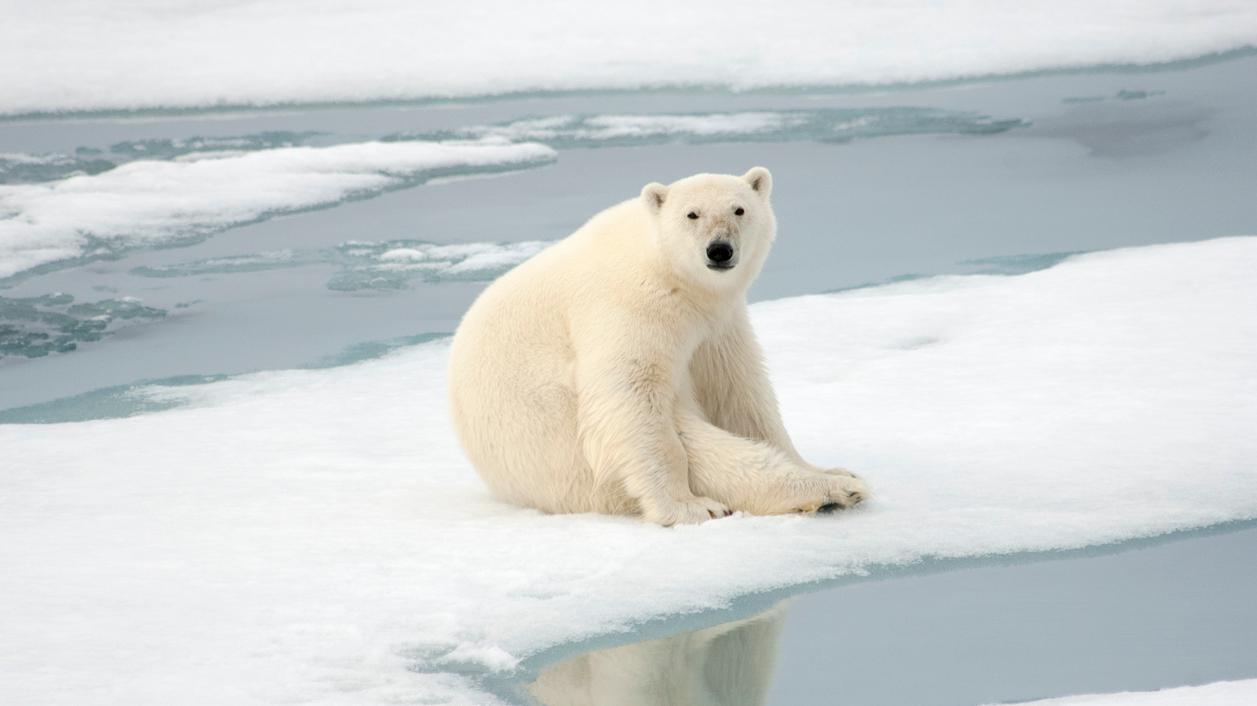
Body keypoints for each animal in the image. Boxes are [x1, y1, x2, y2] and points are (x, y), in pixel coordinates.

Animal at [448, 167, 869, 525]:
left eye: (739, 209)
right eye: (692, 214)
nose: (719, 250)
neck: (675, 278)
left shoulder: (717, 324)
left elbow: (738, 394)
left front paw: (821, 465)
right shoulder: (630, 307)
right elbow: (629, 396)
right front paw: (686, 507)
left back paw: (839, 479)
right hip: (567, 456)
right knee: (695, 446)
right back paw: (826, 492)